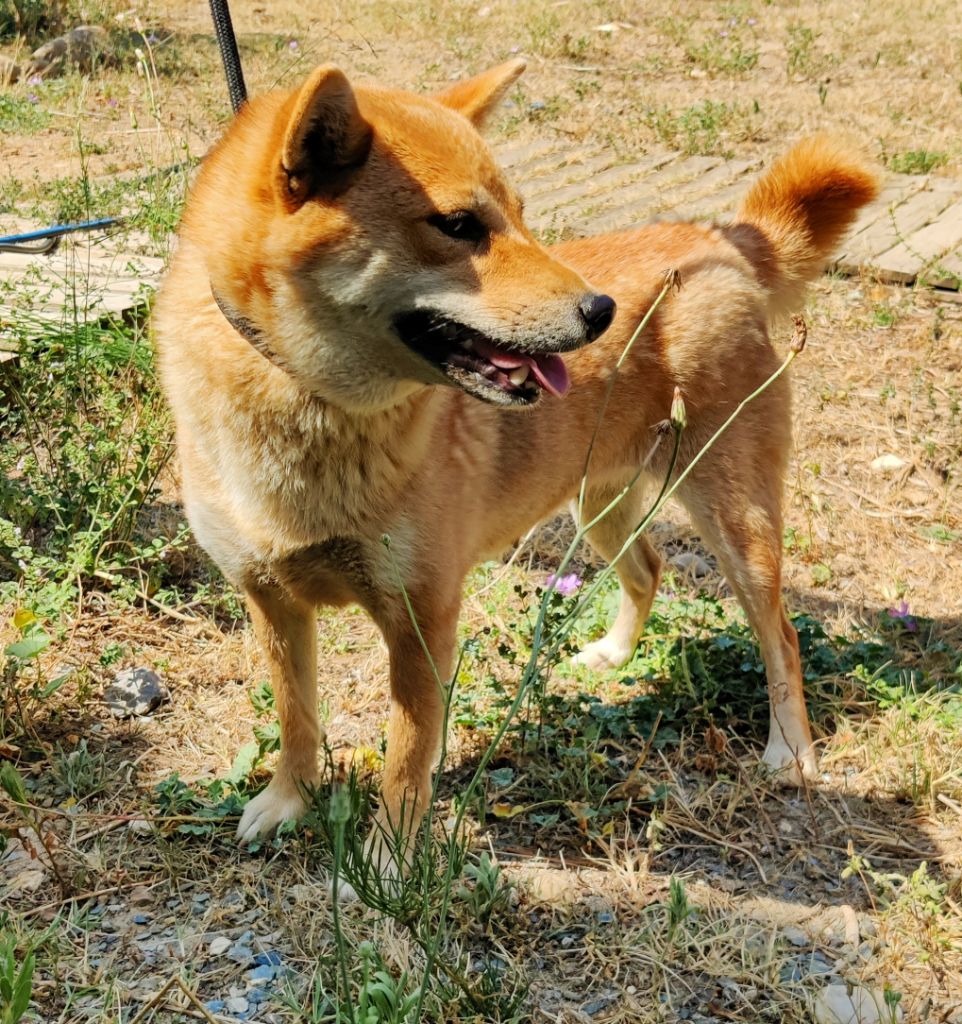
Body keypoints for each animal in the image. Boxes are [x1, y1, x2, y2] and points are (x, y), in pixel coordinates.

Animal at [152, 59, 881, 868]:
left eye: (521, 216)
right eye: (459, 226)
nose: (601, 311)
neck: (310, 407)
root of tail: (718, 240)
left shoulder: (423, 618)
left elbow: (406, 761)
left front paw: (388, 865)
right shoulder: (271, 600)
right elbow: (297, 719)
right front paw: (289, 802)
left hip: (735, 521)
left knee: (780, 635)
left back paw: (790, 749)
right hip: (598, 505)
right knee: (648, 568)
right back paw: (615, 655)